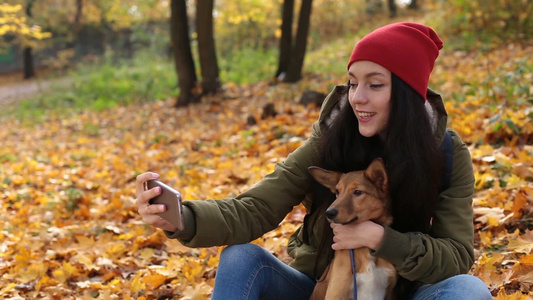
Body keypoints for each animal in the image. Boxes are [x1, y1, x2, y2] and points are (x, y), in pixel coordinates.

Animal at [306, 158, 396, 298]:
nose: (329, 213)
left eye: (357, 192)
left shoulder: (389, 291)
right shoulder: (336, 292)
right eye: (337, 192)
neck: (365, 249)